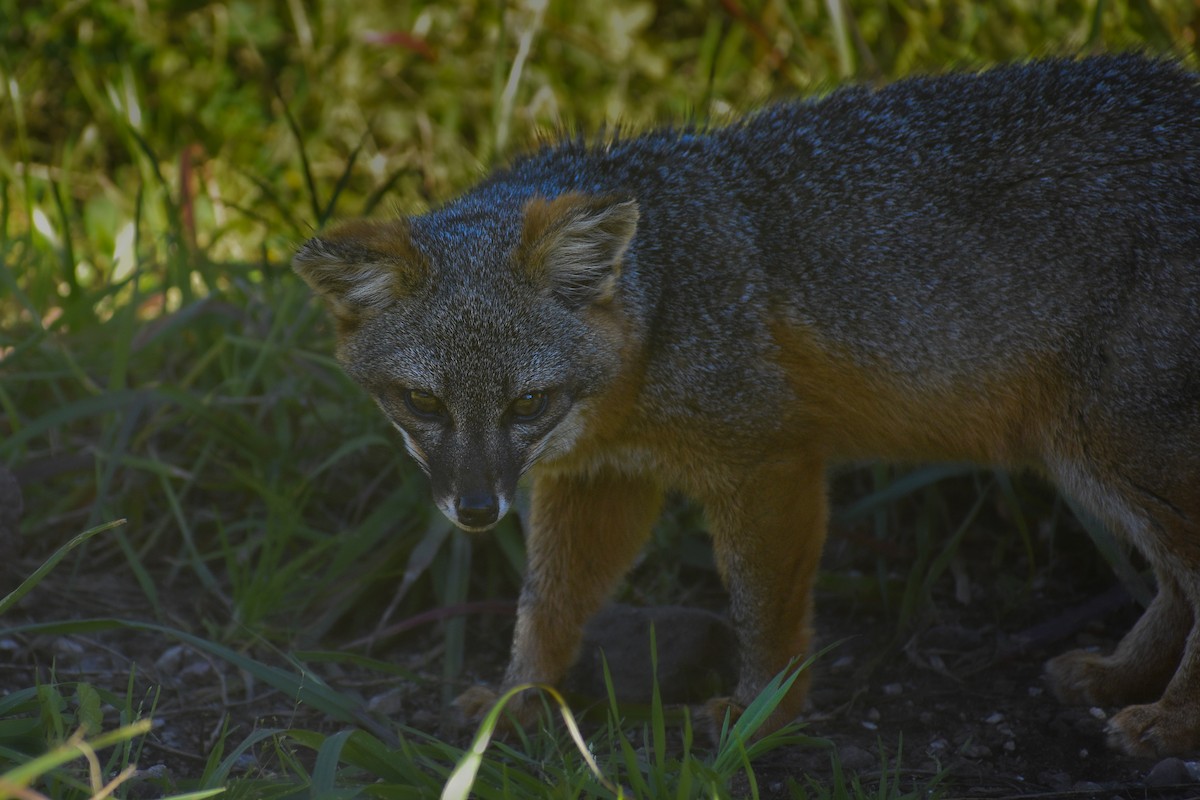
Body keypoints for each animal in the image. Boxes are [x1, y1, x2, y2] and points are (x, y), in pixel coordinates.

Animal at [293, 54, 1200, 758]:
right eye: (422, 401)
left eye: (527, 401)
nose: (478, 511)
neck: (661, 302)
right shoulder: (599, 480)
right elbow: (546, 606)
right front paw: (519, 701)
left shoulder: (769, 464)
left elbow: (763, 610)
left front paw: (761, 716)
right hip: (1085, 458)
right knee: (1177, 583)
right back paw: (1117, 677)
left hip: (1113, 450)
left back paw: (1168, 722)